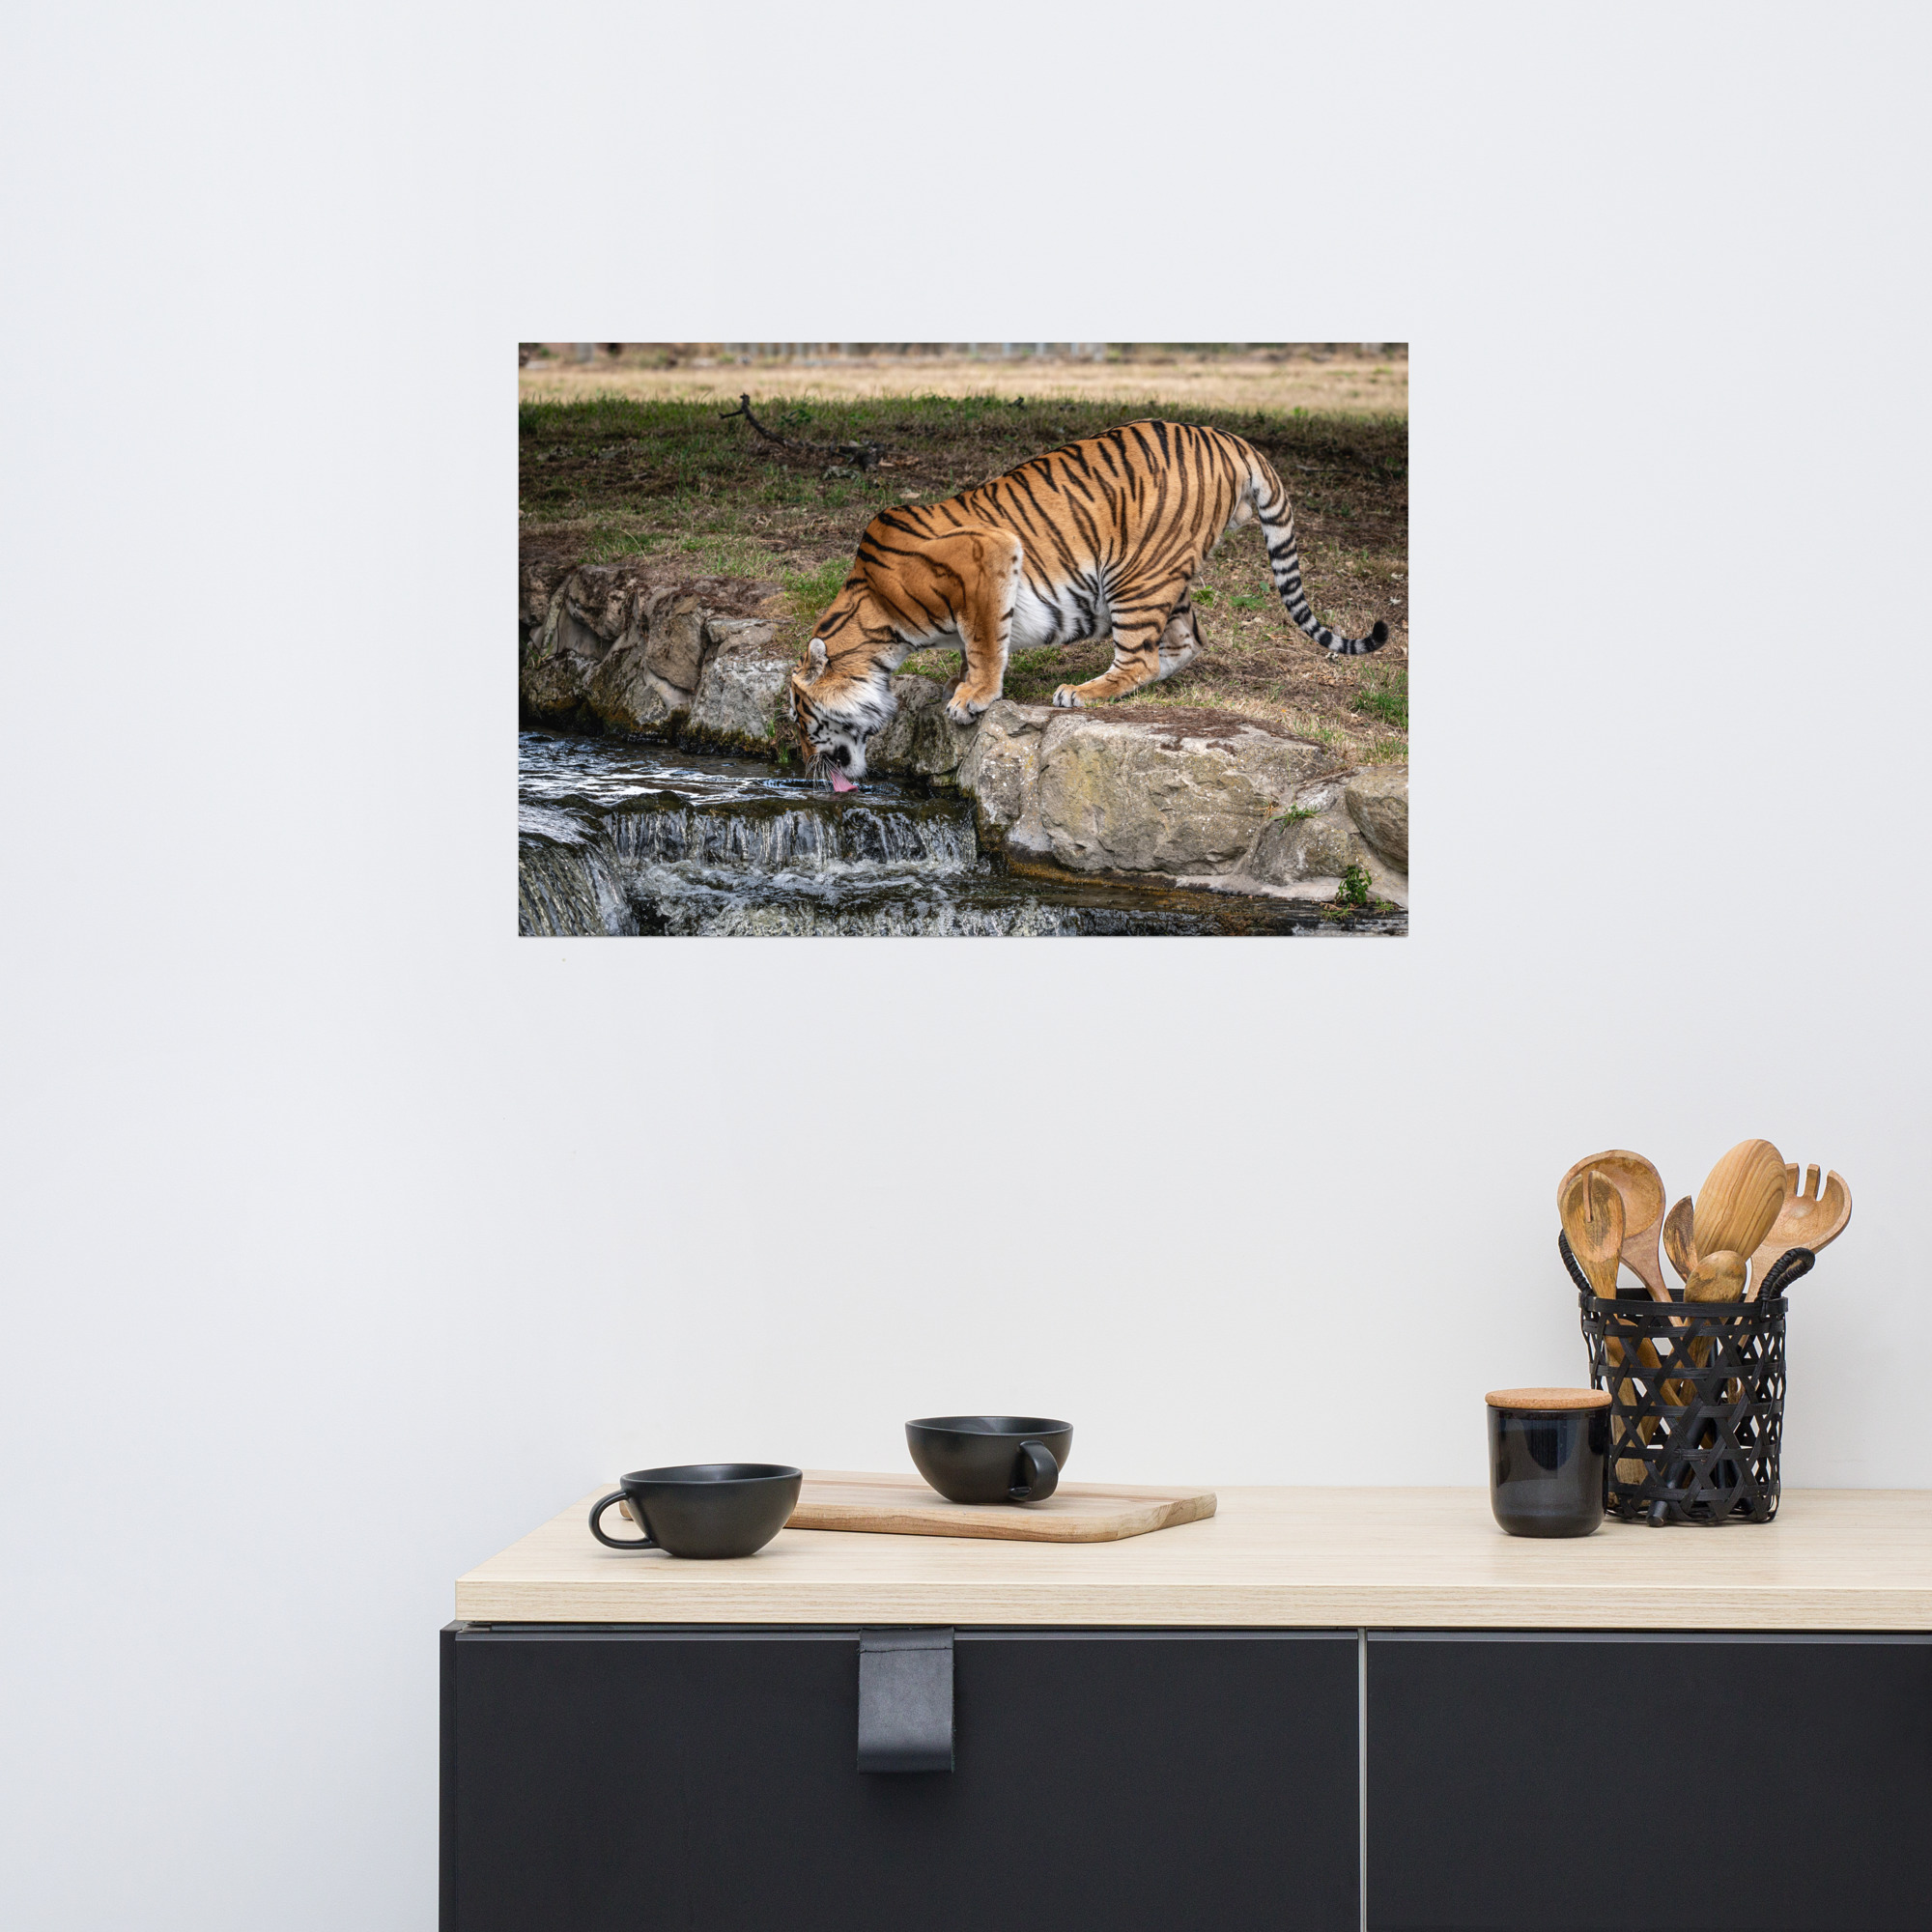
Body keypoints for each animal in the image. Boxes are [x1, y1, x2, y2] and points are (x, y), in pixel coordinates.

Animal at [786, 419, 1388, 789]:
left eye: (800, 718)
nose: (803, 765)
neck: (876, 621)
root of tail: (1229, 438)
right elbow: (976, 644)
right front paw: (959, 686)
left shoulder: (988, 556)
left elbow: (984, 641)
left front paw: (972, 698)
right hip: (1165, 576)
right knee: (1186, 641)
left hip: (1134, 574)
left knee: (1139, 657)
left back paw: (1081, 691)